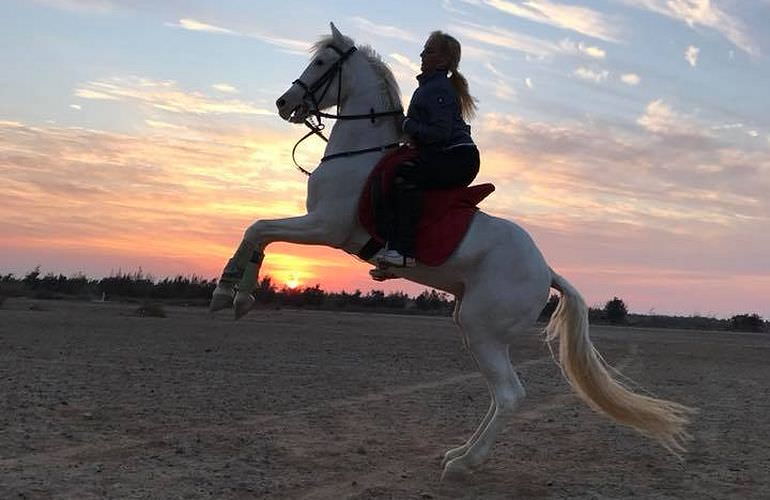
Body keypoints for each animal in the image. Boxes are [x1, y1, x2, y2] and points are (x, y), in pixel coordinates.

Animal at [208, 24, 688, 480]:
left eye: (323, 62)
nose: (284, 102)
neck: (357, 156)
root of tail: (546, 270)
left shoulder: (326, 227)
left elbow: (258, 229)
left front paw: (230, 296)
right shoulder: (321, 227)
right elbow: (258, 233)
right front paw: (233, 295)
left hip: (482, 329)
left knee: (509, 395)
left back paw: (464, 464)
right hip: (476, 327)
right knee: (500, 396)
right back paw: (459, 453)